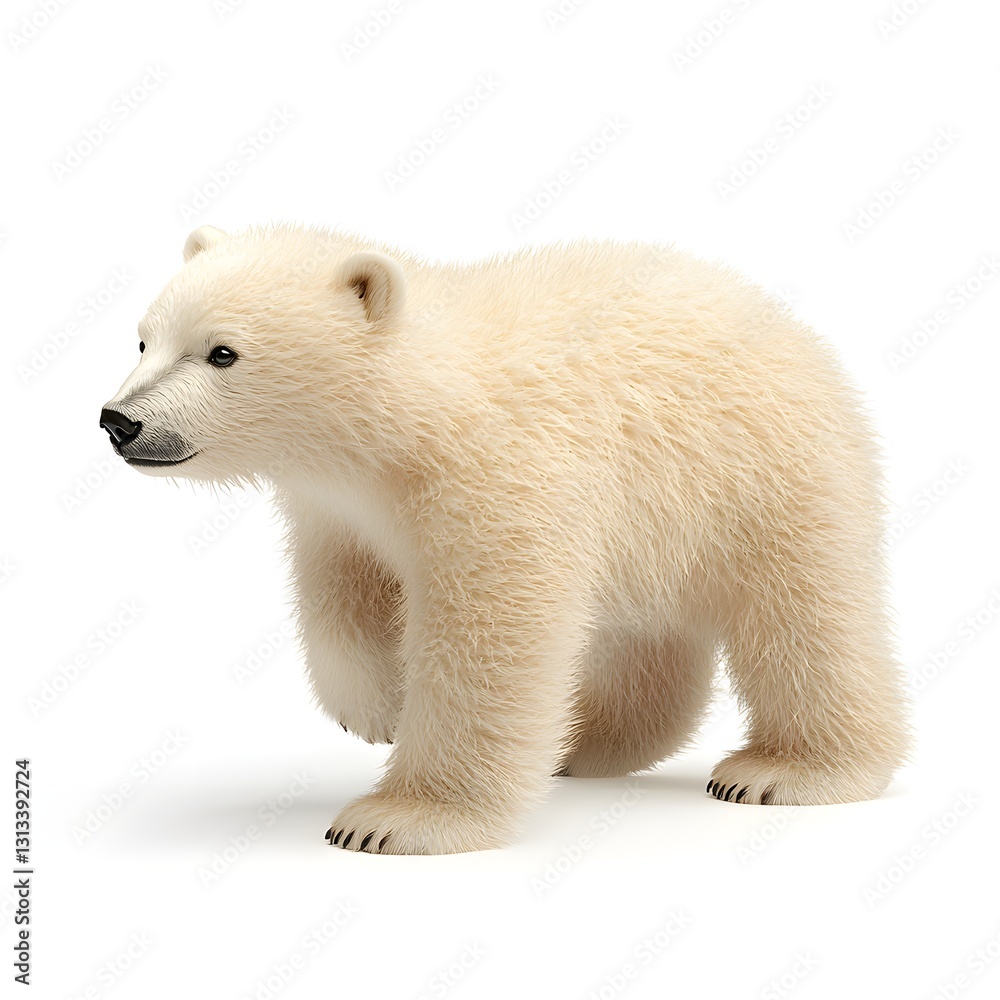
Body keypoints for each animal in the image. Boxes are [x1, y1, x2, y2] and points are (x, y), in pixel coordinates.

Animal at [100, 224, 910, 855]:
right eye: (143, 339)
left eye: (222, 352)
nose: (119, 420)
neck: (418, 414)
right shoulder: (342, 510)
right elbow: (341, 595)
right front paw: (378, 706)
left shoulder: (500, 480)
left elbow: (490, 636)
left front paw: (396, 820)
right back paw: (584, 740)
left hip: (763, 479)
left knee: (806, 619)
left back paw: (786, 770)